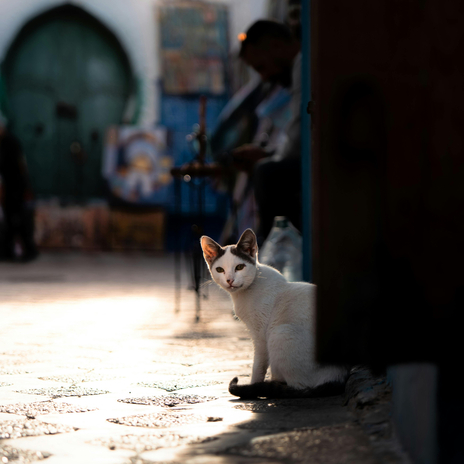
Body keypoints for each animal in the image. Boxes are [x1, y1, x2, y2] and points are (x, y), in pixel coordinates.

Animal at [199, 228, 348, 398]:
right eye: (220, 270)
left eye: (239, 267)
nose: (230, 280)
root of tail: (338, 376)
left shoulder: (261, 336)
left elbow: (258, 366)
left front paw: (253, 387)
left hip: (280, 333)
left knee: (298, 387)